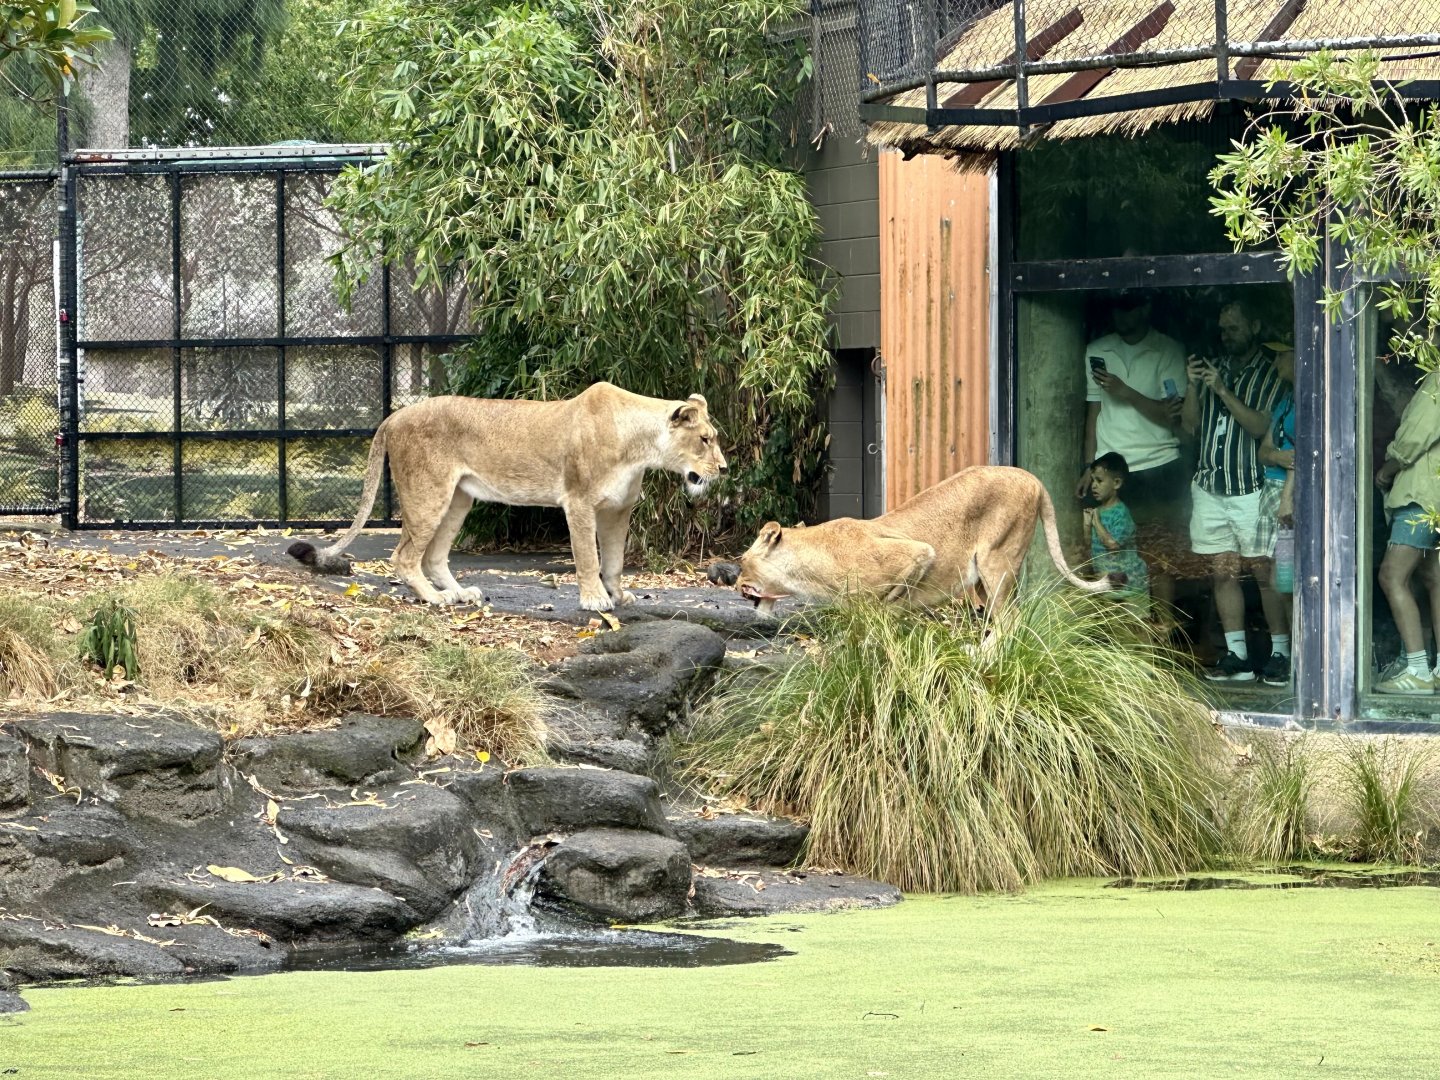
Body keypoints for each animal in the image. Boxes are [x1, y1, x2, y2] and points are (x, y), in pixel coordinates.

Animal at [287, 383, 727, 611]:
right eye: (705, 440)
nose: (723, 469)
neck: (639, 448)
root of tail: (394, 416)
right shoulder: (579, 502)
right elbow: (588, 556)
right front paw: (594, 599)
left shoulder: (618, 510)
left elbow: (615, 561)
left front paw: (619, 594)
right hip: (428, 493)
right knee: (405, 556)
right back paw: (435, 598)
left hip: (458, 499)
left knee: (433, 556)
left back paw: (459, 592)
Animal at [733, 465, 1115, 616]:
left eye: (742, 562)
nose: (734, 584)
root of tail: (1031, 477)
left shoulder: (916, 553)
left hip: (996, 560)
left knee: (1011, 622)